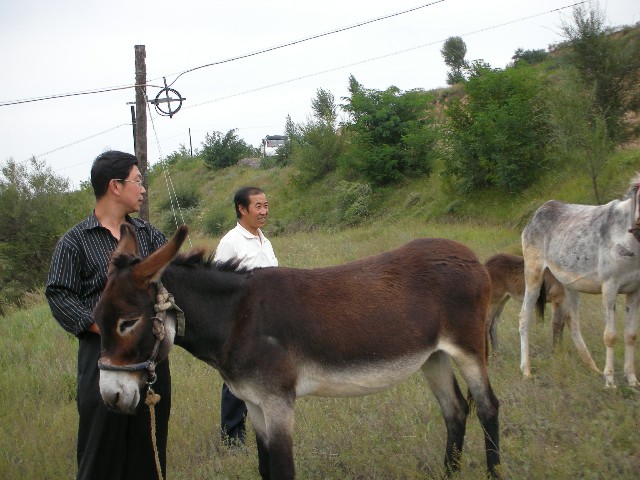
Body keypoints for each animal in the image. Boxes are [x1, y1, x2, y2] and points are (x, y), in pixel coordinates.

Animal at [520, 177, 640, 390]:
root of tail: (538, 212)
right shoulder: (610, 288)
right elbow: (611, 335)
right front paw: (611, 381)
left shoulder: (634, 290)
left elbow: (631, 334)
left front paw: (632, 380)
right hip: (534, 274)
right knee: (524, 317)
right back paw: (526, 371)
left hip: (570, 285)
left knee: (570, 321)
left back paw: (592, 366)